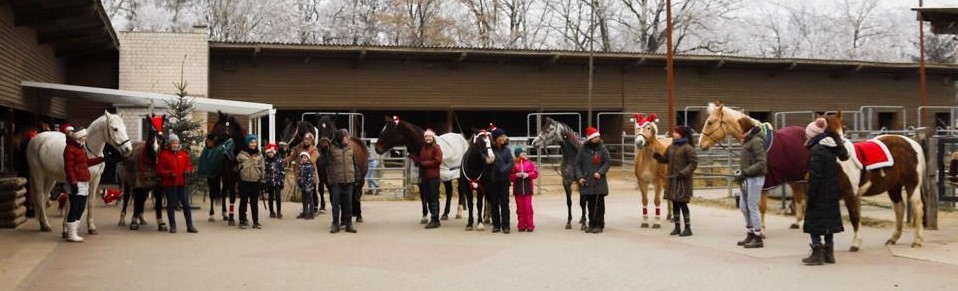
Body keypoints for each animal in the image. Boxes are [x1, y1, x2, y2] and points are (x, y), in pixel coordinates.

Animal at [696, 101, 808, 232]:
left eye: (710, 122)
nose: (701, 144)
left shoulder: (765, 183)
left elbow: (761, 206)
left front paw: (762, 230)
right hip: (795, 177)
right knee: (799, 197)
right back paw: (796, 222)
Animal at [820, 113, 928, 252]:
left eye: (843, 129)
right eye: (828, 133)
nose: (844, 154)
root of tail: (913, 142)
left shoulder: (850, 194)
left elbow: (854, 217)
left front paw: (855, 244)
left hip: (912, 183)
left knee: (917, 207)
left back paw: (917, 241)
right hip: (894, 186)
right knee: (899, 208)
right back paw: (893, 238)